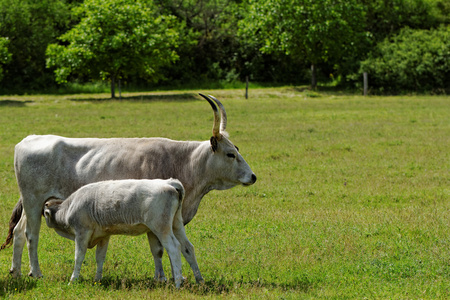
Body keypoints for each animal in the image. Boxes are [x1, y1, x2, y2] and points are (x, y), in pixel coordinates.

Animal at [42, 179, 204, 288]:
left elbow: (78, 257)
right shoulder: (104, 236)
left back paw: (178, 283)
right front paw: (97, 279)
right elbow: (100, 258)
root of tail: (169, 182)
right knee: (188, 248)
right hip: (176, 225)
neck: (70, 207)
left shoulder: (81, 233)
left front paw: (73, 280)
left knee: (174, 248)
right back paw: (199, 279)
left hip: (162, 228)